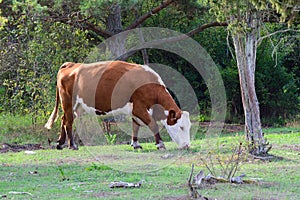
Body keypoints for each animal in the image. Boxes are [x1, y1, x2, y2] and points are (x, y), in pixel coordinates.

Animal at [45, 61, 190, 150]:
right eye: (181, 127)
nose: (187, 145)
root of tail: (71, 64)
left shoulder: (134, 110)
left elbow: (135, 127)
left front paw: (135, 144)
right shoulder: (139, 108)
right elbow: (153, 124)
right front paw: (160, 144)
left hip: (77, 107)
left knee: (64, 119)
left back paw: (60, 143)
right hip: (68, 102)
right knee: (68, 122)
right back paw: (72, 145)